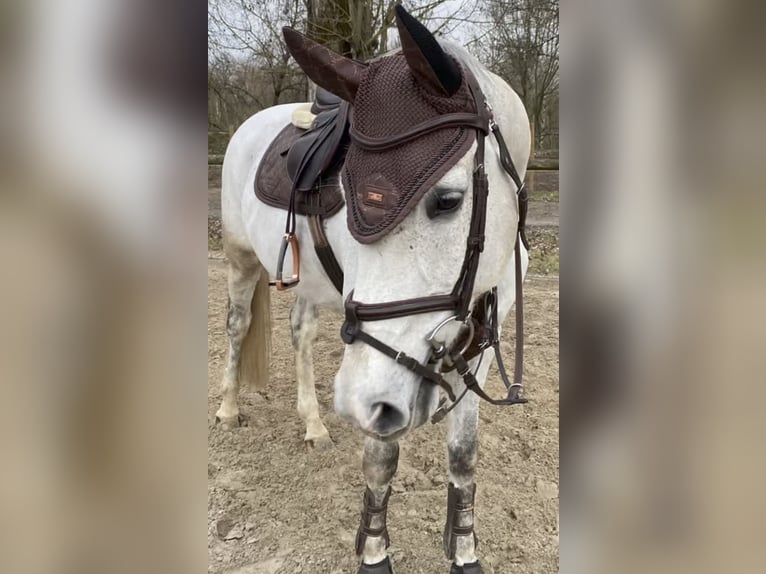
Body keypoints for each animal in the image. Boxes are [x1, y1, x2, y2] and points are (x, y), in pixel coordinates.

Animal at [213, 5, 532, 574]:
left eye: (447, 201)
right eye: (346, 188)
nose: (354, 402)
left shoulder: (474, 348)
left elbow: (464, 456)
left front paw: (464, 551)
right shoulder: (380, 376)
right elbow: (382, 460)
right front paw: (375, 553)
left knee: (299, 334)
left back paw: (313, 424)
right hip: (240, 260)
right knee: (237, 327)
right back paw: (229, 409)